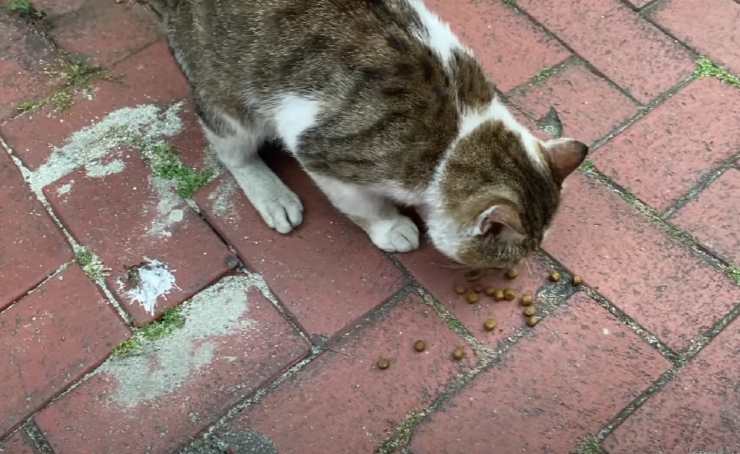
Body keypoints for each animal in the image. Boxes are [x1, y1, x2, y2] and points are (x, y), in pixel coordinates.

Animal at [150, 0, 588, 270]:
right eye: (508, 258)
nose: (517, 266)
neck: (455, 137)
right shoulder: (323, 153)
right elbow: (363, 205)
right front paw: (391, 227)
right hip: (230, 100)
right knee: (231, 148)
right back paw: (271, 193)